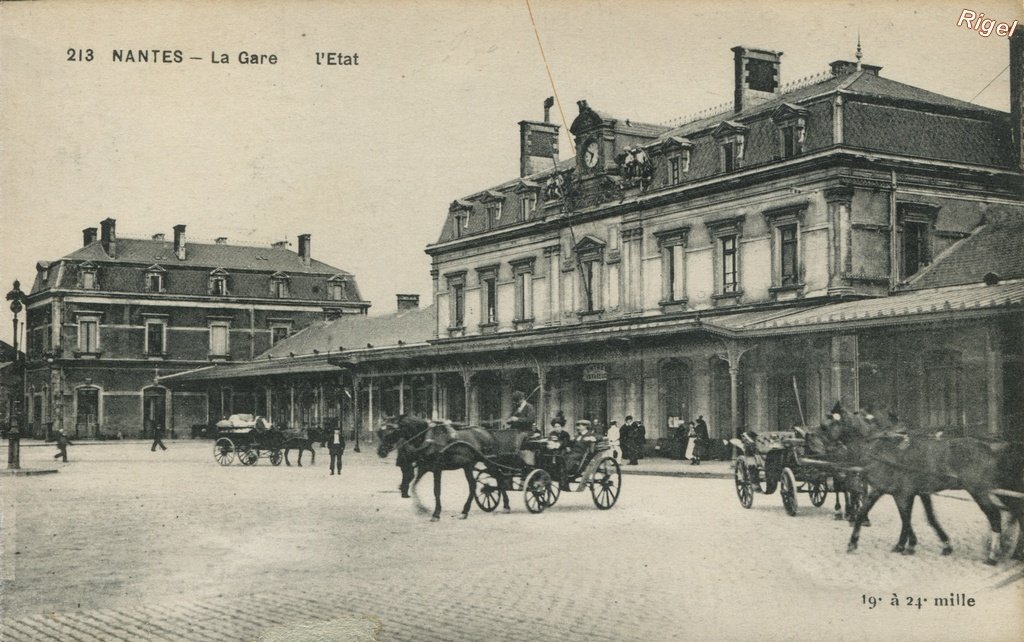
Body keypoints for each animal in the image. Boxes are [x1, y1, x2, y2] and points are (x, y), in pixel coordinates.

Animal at [376, 417, 507, 522]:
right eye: (380, 433)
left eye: (391, 432)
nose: (381, 452)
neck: (428, 439)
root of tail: (487, 432)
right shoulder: (423, 468)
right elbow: (413, 486)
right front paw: (421, 508)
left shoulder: (437, 469)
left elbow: (436, 491)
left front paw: (436, 514)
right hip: (468, 466)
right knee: (473, 485)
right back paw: (465, 512)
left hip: (488, 462)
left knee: (499, 478)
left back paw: (506, 505)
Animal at [835, 409, 1024, 565]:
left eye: (831, 423)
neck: (885, 450)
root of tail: (991, 448)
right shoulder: (906, 491)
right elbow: (923, 517)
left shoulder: (903, 492)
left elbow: (906, 517)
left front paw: (906, 545)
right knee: (1016, 512)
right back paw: (1014, 553)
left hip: (979, 491)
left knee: (996, 516)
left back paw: (993, 556)